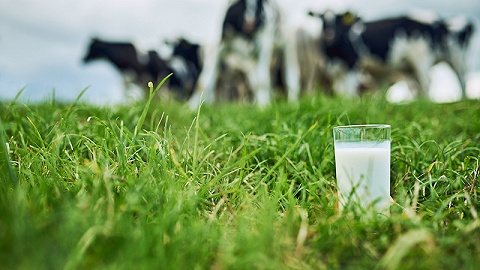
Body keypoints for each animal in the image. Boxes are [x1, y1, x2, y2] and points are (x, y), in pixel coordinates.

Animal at [310, 11, 474, 99]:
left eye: (338, 20)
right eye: (322, 20)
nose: (329, 35)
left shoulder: (353, 64)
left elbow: (349, 91)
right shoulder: (336, 71)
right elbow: (341, 91)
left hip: (431, 58)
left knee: (437, 80)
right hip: (412, 66)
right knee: (419, 85)